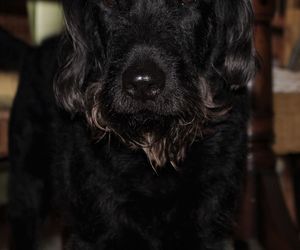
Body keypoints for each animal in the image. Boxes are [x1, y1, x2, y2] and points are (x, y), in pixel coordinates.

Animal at [8, 0, 255, 250]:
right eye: (109, 3)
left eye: (185, 2)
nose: (142, 84)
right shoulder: (96, 231)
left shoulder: (207, 229)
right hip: (27, 191)